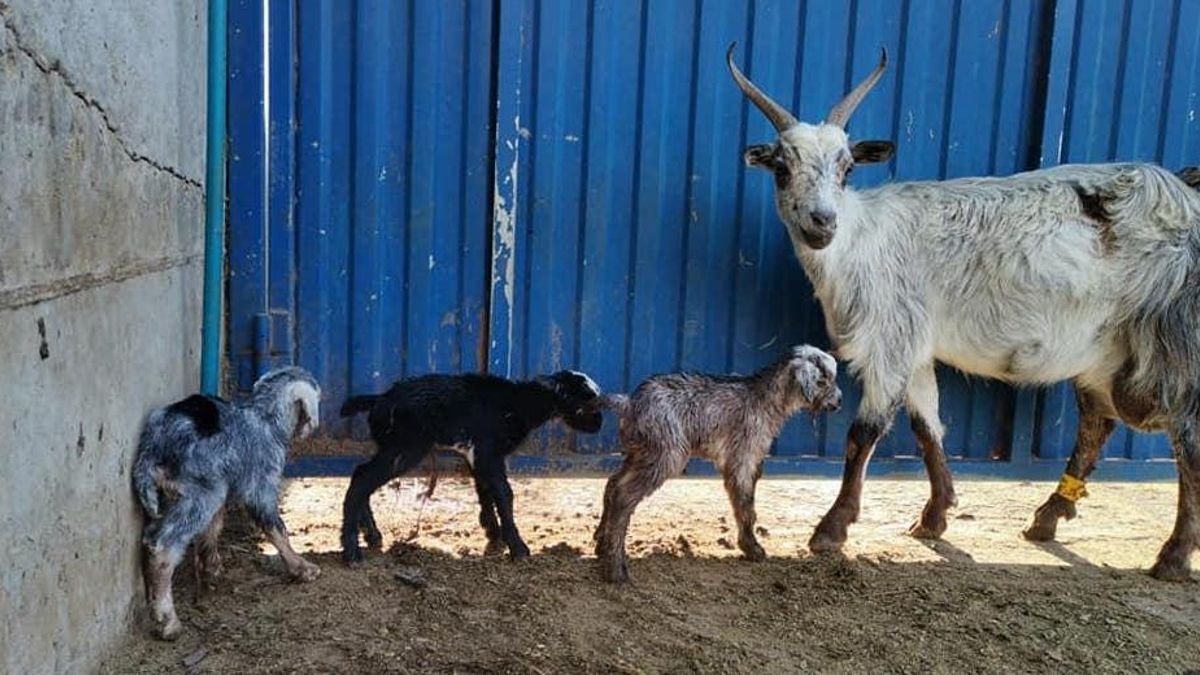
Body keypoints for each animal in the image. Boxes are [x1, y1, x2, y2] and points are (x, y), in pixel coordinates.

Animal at [132, 367, 322, 640]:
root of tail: (153, 448)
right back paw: (167, 621)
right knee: (162, 545)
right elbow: (277, 529)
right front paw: (301, 567)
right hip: (204, 492)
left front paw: (211, 568)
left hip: (192, 493)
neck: (264, 418)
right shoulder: (261, 485)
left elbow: (213, 529)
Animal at [338, 370, 604, 564]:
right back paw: (351, 550)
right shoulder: (489, 452)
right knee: (362, 480)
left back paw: (372, 535)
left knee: (361, 474)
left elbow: (485, 491)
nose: (599, 424)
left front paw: (494, 536)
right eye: (589, 401)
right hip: (407, 447)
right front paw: (518, 548)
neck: (519, 402)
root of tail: (380, 399)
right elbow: (504, 494)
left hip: (392, 446)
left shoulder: (477, 455)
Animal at [593, 346, 842, 583]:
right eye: (823, 380)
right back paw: (615, 569)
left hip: (641, 453)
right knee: (624, 496)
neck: (763, 398)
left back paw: (601, 543)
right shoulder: (742, 458)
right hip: (666, 454)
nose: (839, 401)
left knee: (613, 484)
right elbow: (746, 506)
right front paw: (752, 548)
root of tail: (629, 403)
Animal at [728, 43, 1200, 580]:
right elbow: (927, 425)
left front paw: (831, 529)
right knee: (1097, 422)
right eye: (782, 169)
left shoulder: (891, 337)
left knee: (1187, 436)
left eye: (847, 169)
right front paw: (935, 516)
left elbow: (864, 432)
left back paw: (1174, 555)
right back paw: (1047, 518)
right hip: (1103, 346)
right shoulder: (916, 347)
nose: (822, 221)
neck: (861, 241)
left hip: (1172, 337)